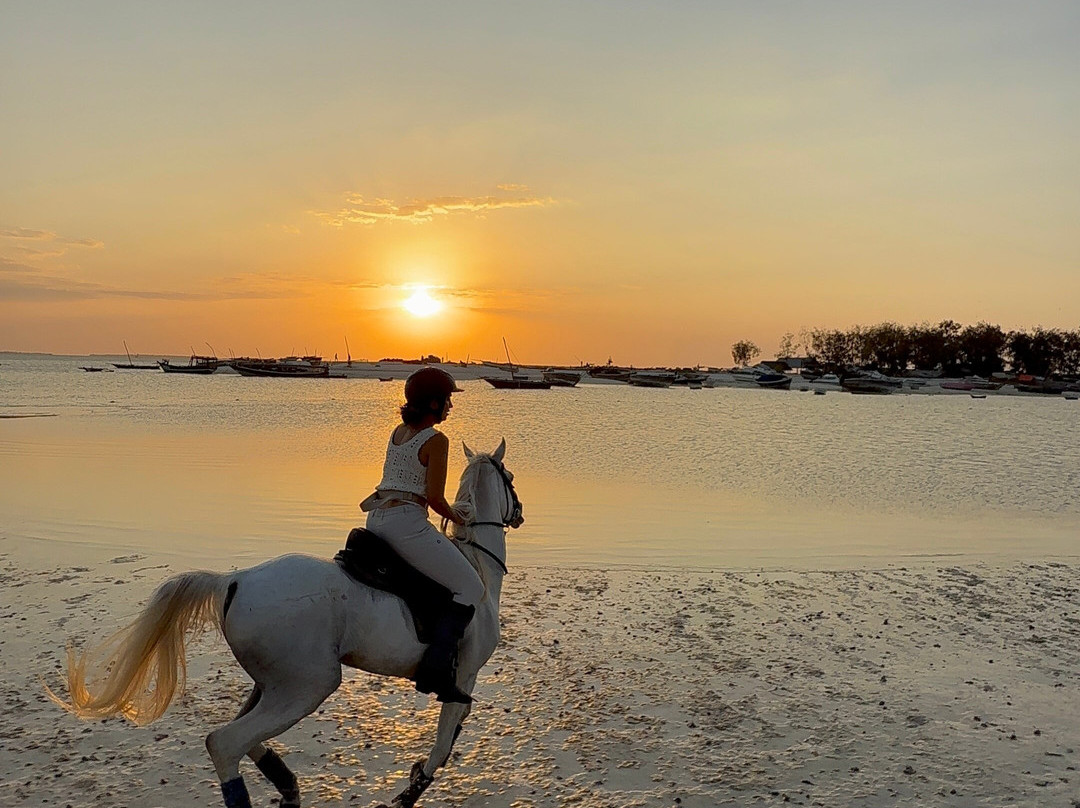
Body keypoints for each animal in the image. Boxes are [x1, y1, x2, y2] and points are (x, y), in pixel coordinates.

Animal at [48, 440, 523, 808]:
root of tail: (235, 580)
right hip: (308, 684)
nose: (518, 514)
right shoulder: (463, 675)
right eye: (512, 478)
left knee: (240, 733)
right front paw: (409, 790)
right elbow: (443, 745)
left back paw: (287, 784)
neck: (478, 566)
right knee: (225, 743)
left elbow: (449, 737)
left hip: (275, 682)